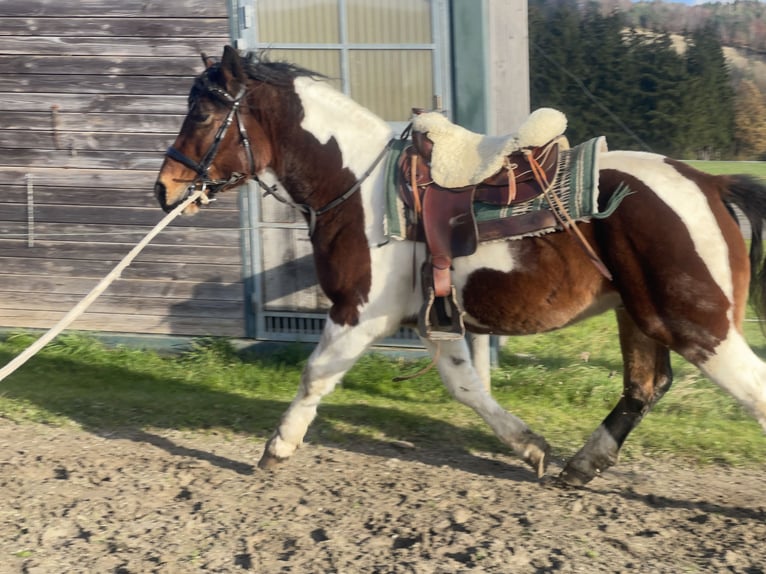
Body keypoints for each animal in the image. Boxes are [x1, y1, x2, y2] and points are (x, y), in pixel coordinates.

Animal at [153, 46, 766, 486]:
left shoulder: (358, 313)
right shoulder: (433, 321)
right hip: (640, 318)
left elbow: (315, 375)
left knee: (746, 390)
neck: (360, 185)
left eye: (203, 113)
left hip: (696, 325)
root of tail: (709, 183)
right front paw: (531, 446)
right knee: (645, 385)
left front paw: (277, 448)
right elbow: (465, 385)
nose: (165, 188)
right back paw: (580, 466)